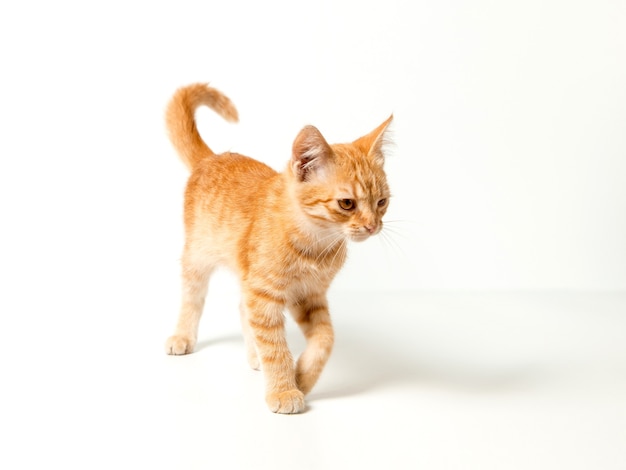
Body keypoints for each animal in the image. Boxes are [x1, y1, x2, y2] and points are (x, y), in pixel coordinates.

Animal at [163, 82, 392, 414]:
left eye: (382, 202)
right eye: (347, 203)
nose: (373, 226)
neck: (315, 245)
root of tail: (212, 157)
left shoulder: (309, 296)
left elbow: (326, 338)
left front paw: (303, 377)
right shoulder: (265, 294)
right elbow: (275, 347)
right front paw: (284, 389)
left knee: (242, 308)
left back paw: (254, 355)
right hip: (198, 255)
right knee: (193, 297)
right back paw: (183, 336)